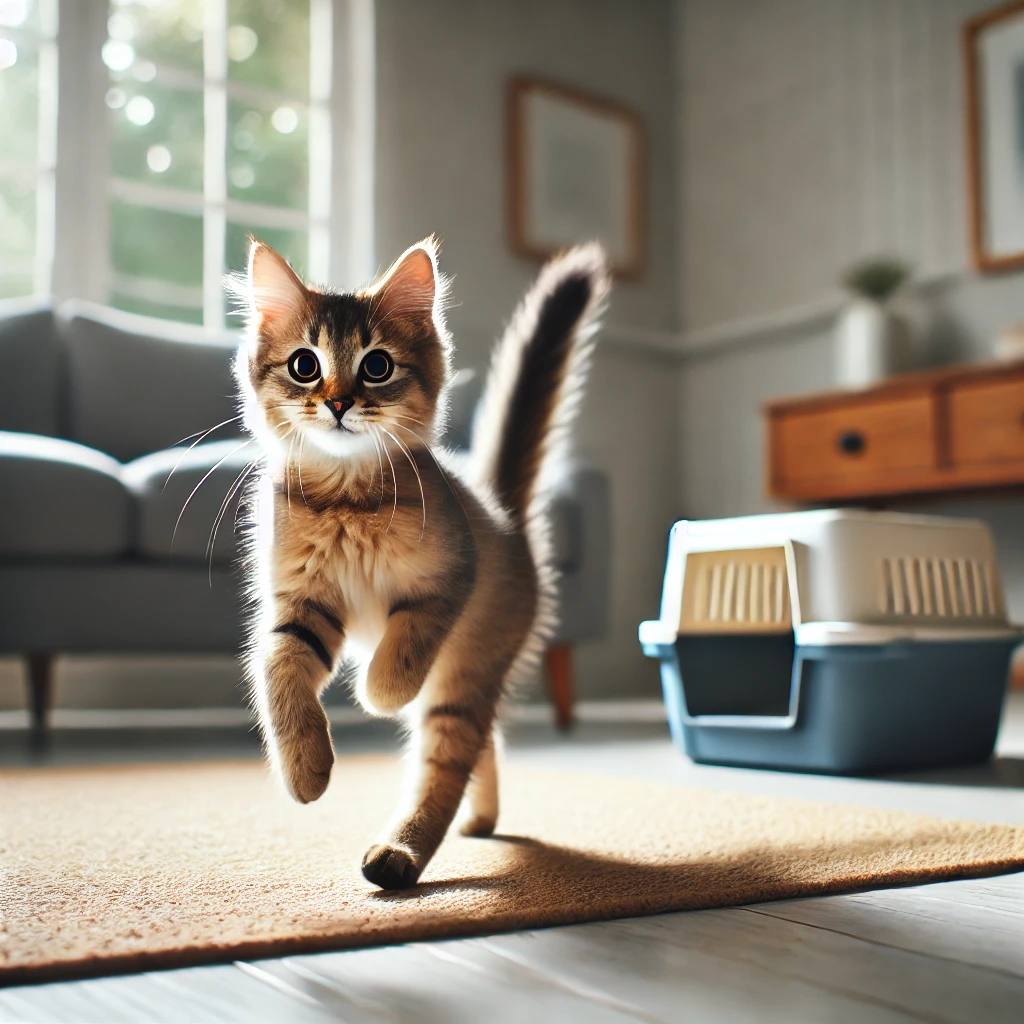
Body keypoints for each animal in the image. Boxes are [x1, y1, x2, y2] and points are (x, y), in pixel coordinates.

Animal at [232, 237, 606, 888]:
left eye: (376, 366)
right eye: (305, 365)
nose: (338, 402)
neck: (347, 501)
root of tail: (507, 518)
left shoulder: (450, 581)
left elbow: (403, 649)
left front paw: (378, 692)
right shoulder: (299, 605)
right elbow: (279, 674)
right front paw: (306, 771)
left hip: (461, 678)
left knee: (447, 761)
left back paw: (400, 854)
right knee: (484, 742)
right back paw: (479, 821)